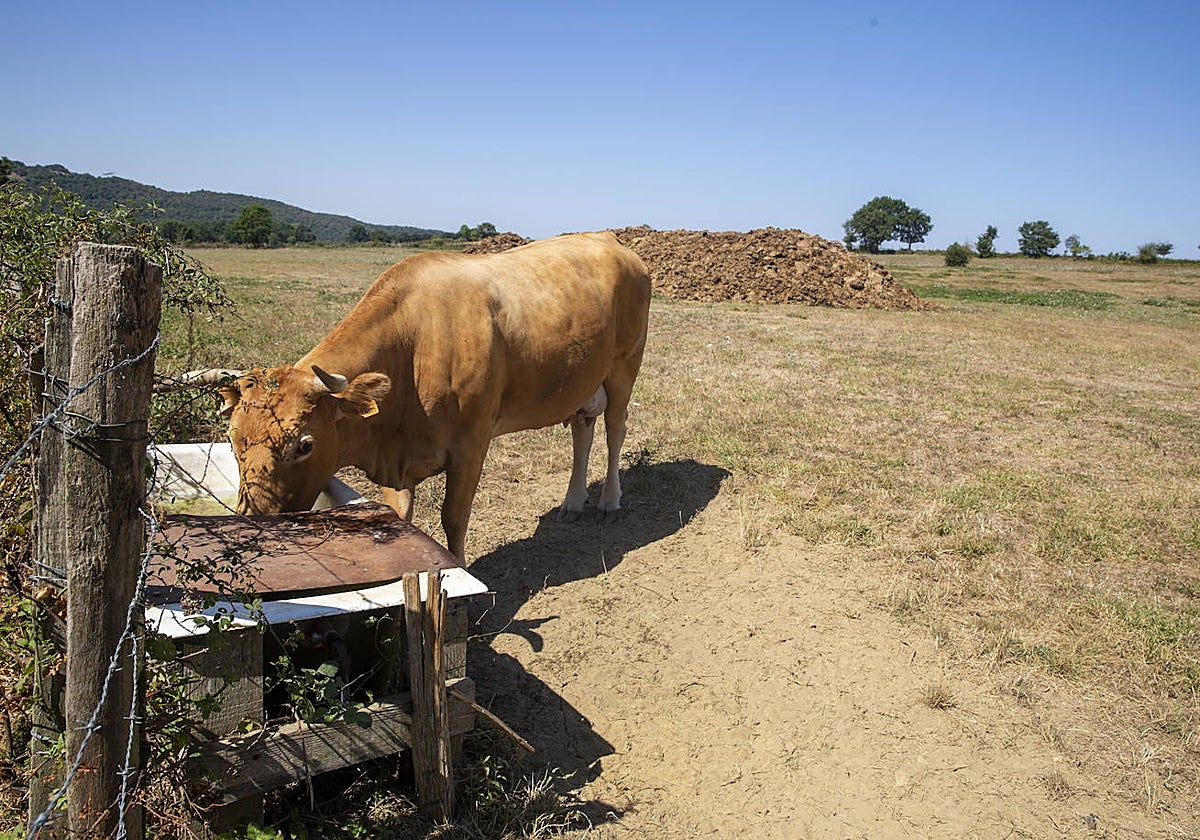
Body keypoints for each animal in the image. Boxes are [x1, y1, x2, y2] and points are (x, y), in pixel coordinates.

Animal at [216, 231, 651, 560]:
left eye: (305, 445)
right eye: (233, 440)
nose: (253, 519)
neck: (413, 345)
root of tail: (610, 239)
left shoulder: (472, 443)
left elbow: (454, 518)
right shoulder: (394, 454)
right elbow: (400, 514)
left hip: (624, 366)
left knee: (615, 429)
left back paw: (609, 501)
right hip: (583, 379)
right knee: (583, 429)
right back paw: (572, 503)